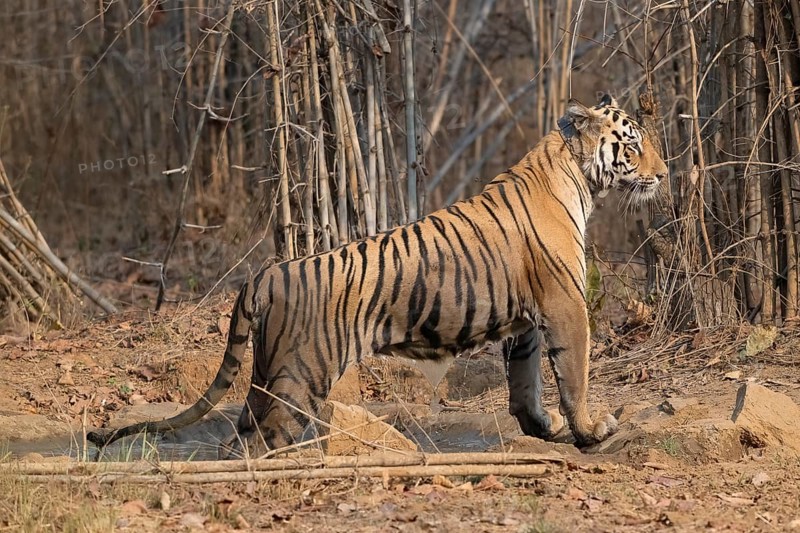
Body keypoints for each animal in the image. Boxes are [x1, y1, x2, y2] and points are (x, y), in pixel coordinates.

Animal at [88, 94, 668, 456]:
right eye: (633, 145)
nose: (664, 175)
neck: (578, 178)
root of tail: (267, 275)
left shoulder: (526, 321)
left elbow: (525, 383)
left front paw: (542, 429)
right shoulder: (565, 304)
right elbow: (574, 374)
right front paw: (591, 430)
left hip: (268, 373)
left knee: (241, 431)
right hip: (300, 375)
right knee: (258, 441)